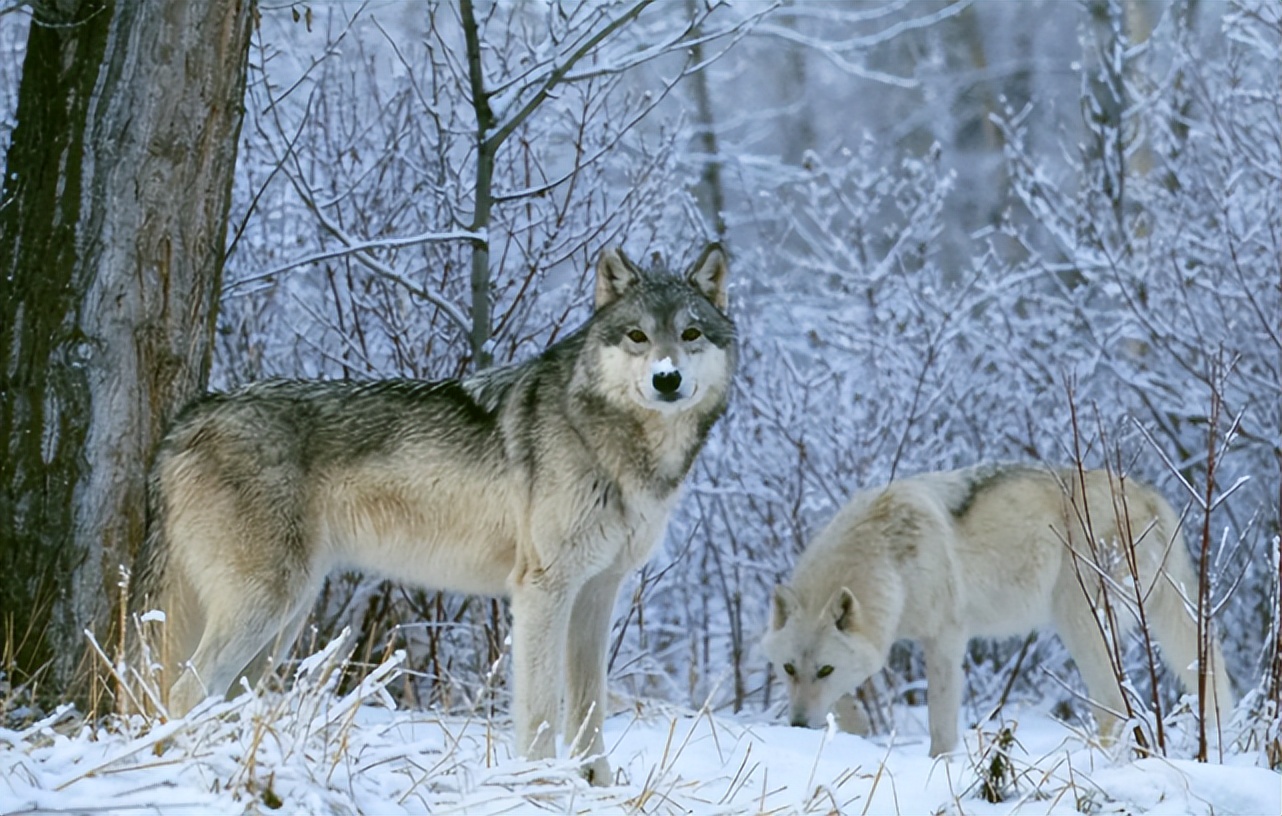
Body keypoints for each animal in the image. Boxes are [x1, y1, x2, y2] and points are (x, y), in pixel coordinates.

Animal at [135, 243, 738, 783]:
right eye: (638, 336)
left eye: (690, 335)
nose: (666, 378)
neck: (614, 443)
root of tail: (186, 420)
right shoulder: (542, 589)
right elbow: (542, 710)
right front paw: (540, 786)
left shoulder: (597, 592)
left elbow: (589, 709)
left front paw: (596, 787)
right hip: (268, 605)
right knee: (184, 690)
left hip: (284, 620)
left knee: (220, 698)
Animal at [758, 463, 1230, 758]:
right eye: (788, 669)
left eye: (824, 670)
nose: (797, 725)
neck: (887, 556)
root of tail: (1149, 495)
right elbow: (849, 703)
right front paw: (855, 731)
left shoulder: (945, 640)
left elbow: (940, 726)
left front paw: (939, 768)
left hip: (1080, 626)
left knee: (1113, 708)